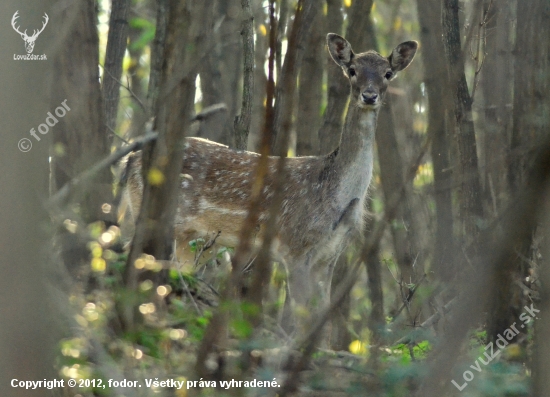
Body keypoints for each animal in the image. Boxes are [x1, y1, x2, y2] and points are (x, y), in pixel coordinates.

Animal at [124, 34, 418, 320]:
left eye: (388, 73)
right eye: (352, 70)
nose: (369, 96)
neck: (334, 195)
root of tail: (130, 160)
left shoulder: (330, 255)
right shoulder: (295, 246)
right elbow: (297, 317)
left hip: (197, 240)